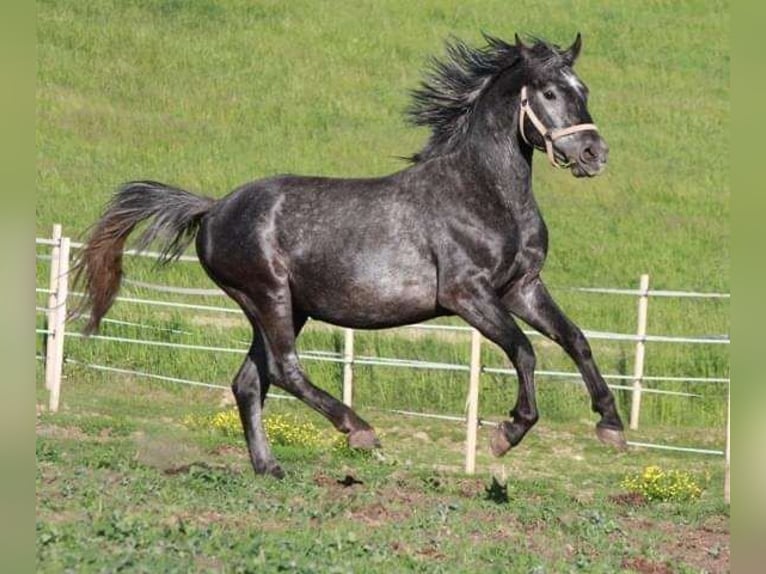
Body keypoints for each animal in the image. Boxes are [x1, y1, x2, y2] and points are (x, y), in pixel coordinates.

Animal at [75, 33, 632, 480]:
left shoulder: (521, 288)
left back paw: (269, 467)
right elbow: (525, 350)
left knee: (249, 382)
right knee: (284, 370)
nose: (595, 155)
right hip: (267, 295)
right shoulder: (467, 294)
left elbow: (576, 340)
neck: (482, 192)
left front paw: (611, 425)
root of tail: (213, 209)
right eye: (549, 92)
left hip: (286, 307)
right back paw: (359, 430)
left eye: (584, 90)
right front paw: (507, 433)